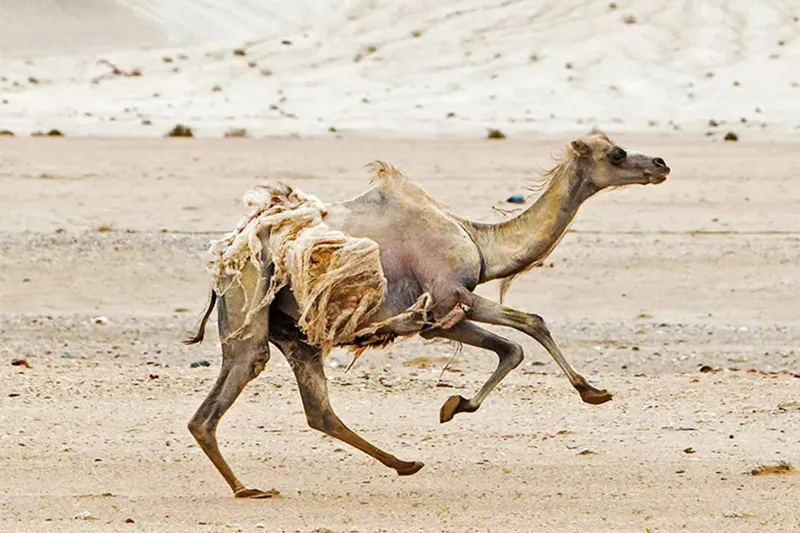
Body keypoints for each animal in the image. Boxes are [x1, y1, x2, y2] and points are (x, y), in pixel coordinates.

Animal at [184, 132, 671, 498]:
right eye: (616, 153)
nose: (662, 163)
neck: (480, 243)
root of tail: (225, 258)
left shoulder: (435, 318)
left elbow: (511, 347)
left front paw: (455, 405)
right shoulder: (448, 294)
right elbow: (532, 323)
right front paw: (592, 391)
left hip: (295, 331)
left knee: (317, 410)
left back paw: (403, 463)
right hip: (249, 299)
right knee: (233, 383)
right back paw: (247, 488)